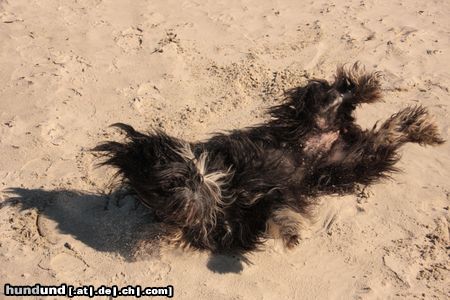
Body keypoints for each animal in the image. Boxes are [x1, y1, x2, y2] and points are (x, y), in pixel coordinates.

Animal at [94, 63, 442, 253]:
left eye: (171, 180)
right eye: (164, 191)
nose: (188, 187)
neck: (218, 192)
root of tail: (337, 134)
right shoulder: (256, 210)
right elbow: (277, 213)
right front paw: (291, 234)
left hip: (313, 115)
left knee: (338, 92)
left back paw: (369, 87)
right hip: (352, 161)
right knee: (387, 133)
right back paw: (420, 128)